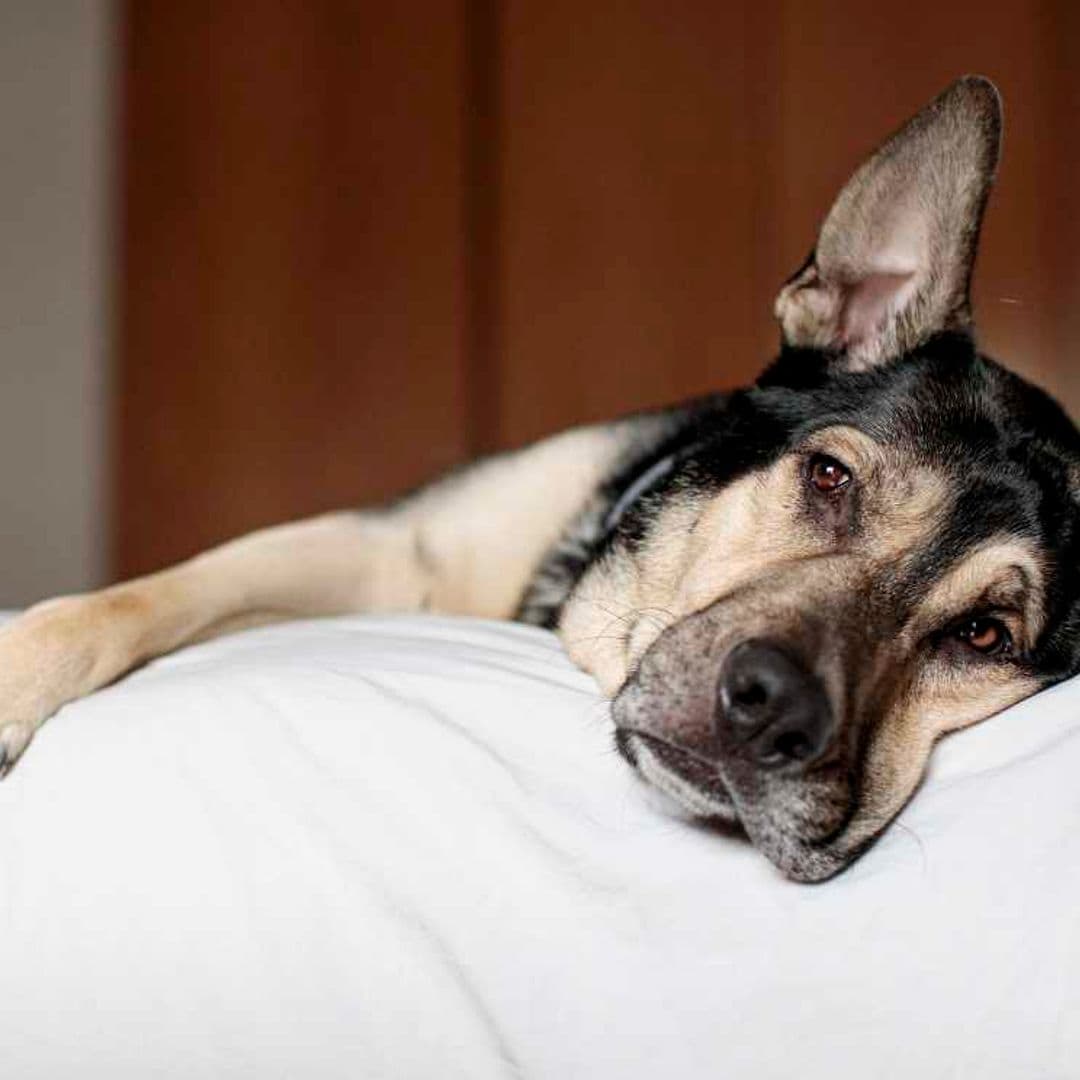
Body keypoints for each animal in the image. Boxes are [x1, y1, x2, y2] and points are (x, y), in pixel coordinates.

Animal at [2, 78, 1080, 885]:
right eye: (827, 478)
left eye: (983, 635)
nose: (771, 709)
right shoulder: (392, 553)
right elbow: (140, 597)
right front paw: (18, 674)